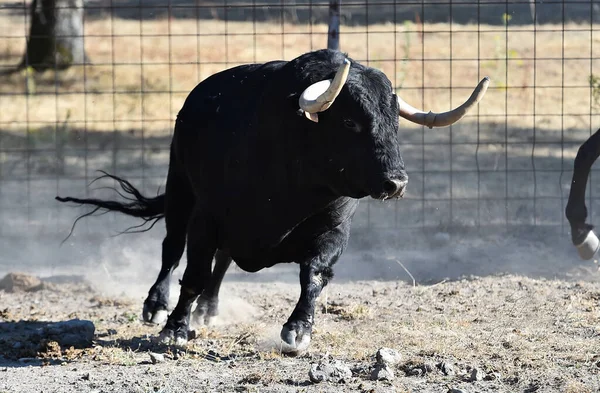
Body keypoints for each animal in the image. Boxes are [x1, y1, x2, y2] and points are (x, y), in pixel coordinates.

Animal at [55, 49, 488, 350]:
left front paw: (297, 331)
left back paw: (210, 309)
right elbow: (192, 273)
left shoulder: (333, 229)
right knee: (172, 250)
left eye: (394, 122)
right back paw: (157, 304)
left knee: (222, 261)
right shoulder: (207, 218)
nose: (395, 183)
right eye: (350, 121)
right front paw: (175, 328)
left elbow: (313, 275)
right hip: (180, 190)